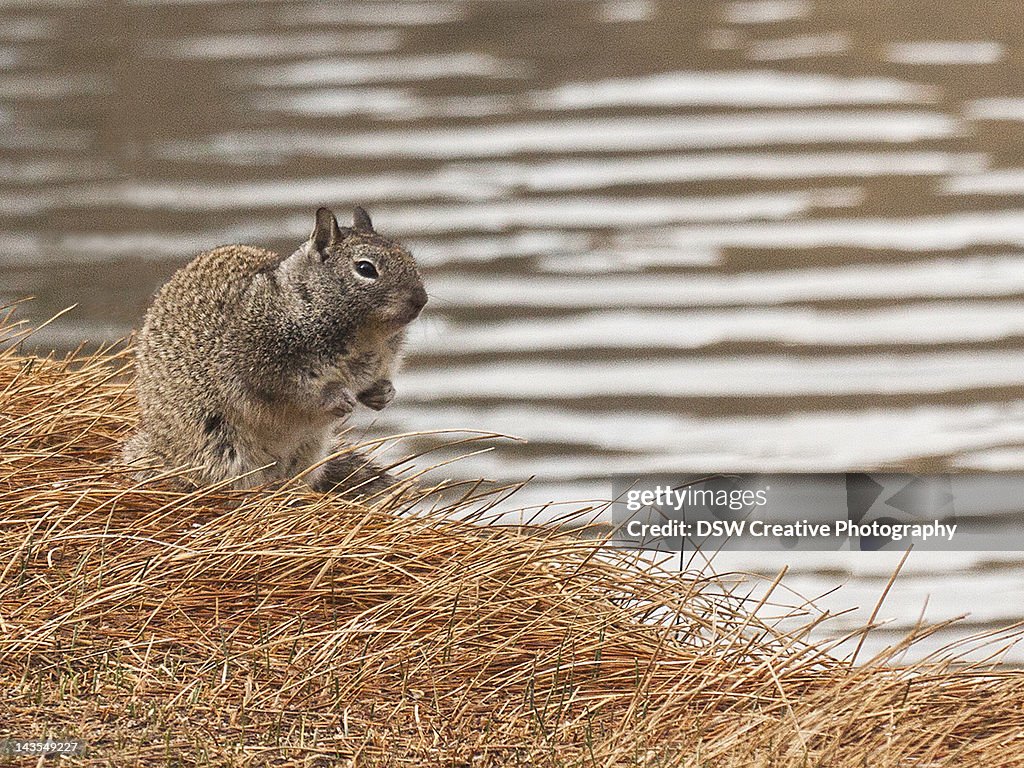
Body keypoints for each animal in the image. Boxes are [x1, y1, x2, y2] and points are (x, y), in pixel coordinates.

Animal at [123, 205, 428, 493]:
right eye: (366, 269)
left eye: (409, 257)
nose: (421, 299)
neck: (366, 338)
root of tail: (160, 448)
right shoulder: (264, 366)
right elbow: (294, 391)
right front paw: (337, 398)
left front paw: (383, 393)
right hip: (222, 448)